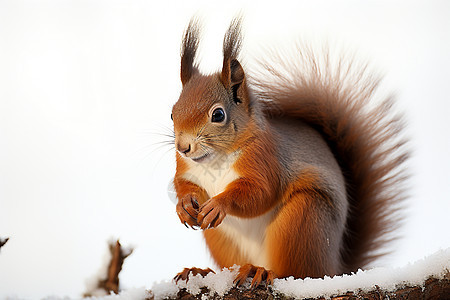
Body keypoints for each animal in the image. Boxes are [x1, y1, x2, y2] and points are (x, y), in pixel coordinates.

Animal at [169, 17, 408, 288]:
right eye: (172, 113)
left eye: (218, 114)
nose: (183, 147)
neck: (214, 161)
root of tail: (336, 267)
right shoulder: (185, 169)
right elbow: (182, 184)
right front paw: (184, 205)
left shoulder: (266, 159)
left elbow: (260, 192)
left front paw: (220, 203)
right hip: (222, 238)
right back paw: (202, 272)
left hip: (304, 220)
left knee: (298, 272)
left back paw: (259, 271)